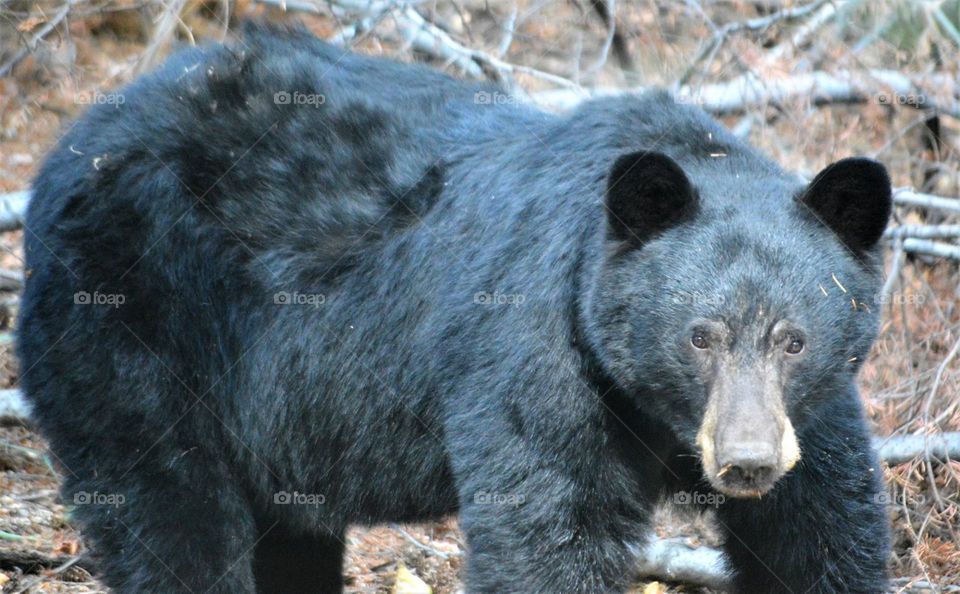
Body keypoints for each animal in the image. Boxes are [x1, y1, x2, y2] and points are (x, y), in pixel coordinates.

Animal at [18, 23, 891, 594]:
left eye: (794, 340)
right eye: (699, 337)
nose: (746, 461)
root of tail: (69, 146)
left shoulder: (806, 414)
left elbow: (820, 529)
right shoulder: (539, 350)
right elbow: (549, 528)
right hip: (134, 325)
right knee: (171, 513)